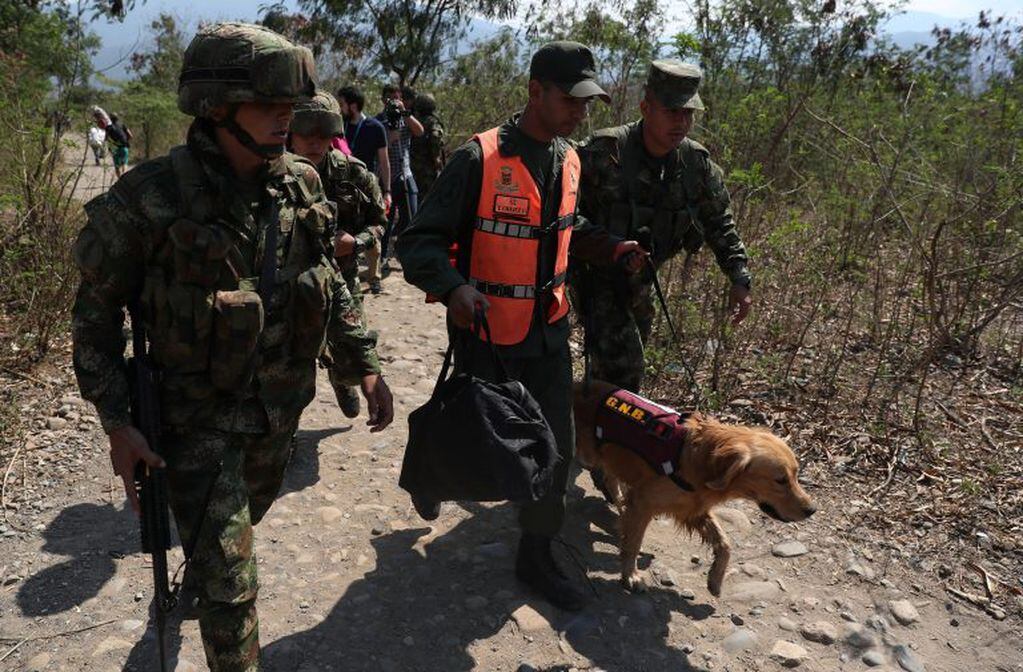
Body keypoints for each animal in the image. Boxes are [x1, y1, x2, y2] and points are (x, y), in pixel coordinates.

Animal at [576, 380, 814, 593]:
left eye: (796, 475)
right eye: (780, 480)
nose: (812, 510)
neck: (700, 459)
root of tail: (579, 385)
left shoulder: (693, 509)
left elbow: (725, 543)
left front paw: (715, 578)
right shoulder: (643, 502)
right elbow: (633, 544)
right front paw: (631, 575)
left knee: (611, 481)